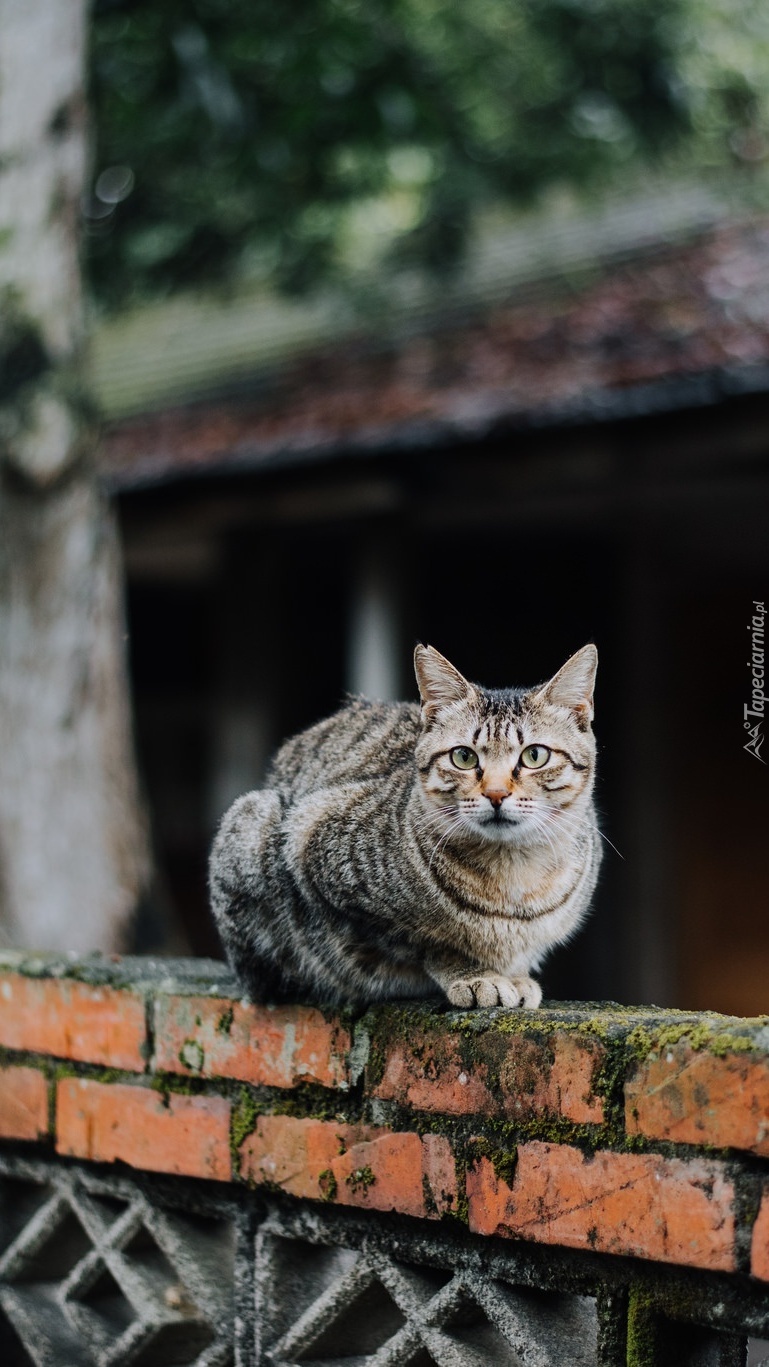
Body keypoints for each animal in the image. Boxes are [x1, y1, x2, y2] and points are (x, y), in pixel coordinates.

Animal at [208, 645, 600, 1011]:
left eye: (535, 755)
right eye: (464, 757)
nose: (496, 793)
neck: (514, 877)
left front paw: (512, 974)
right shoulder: (313, 843)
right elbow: (426, 941)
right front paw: (474, 973)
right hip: (252, 821)